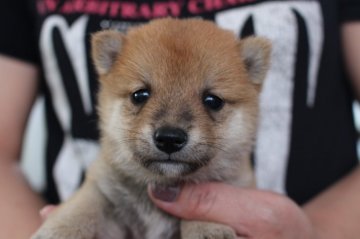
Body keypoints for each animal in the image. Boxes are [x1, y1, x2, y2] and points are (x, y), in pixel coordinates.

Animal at [31, 17, 270, 238]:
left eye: (213, 101)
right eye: (140, 95)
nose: (169, 138)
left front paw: (207, 228)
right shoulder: (101, 187)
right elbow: (83, 204)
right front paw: (59, 229)